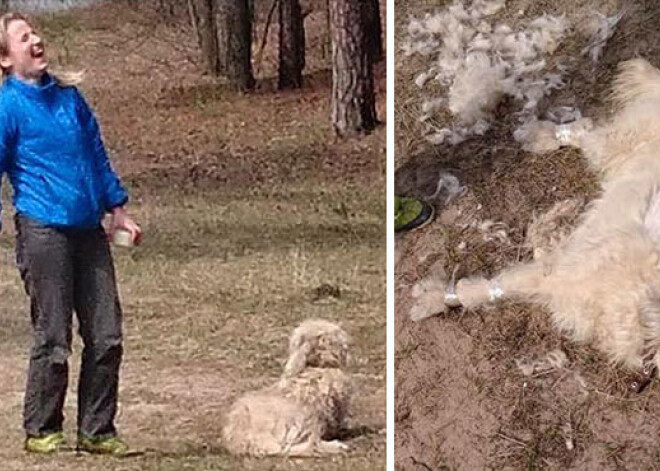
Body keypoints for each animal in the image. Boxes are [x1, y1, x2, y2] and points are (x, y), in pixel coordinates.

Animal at [412, 59, 660, 376]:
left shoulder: (555, 279)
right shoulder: (555, 275)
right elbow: (485, 290)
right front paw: (433, 298)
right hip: (618, 144)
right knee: (584, 134)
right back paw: (537, 135)